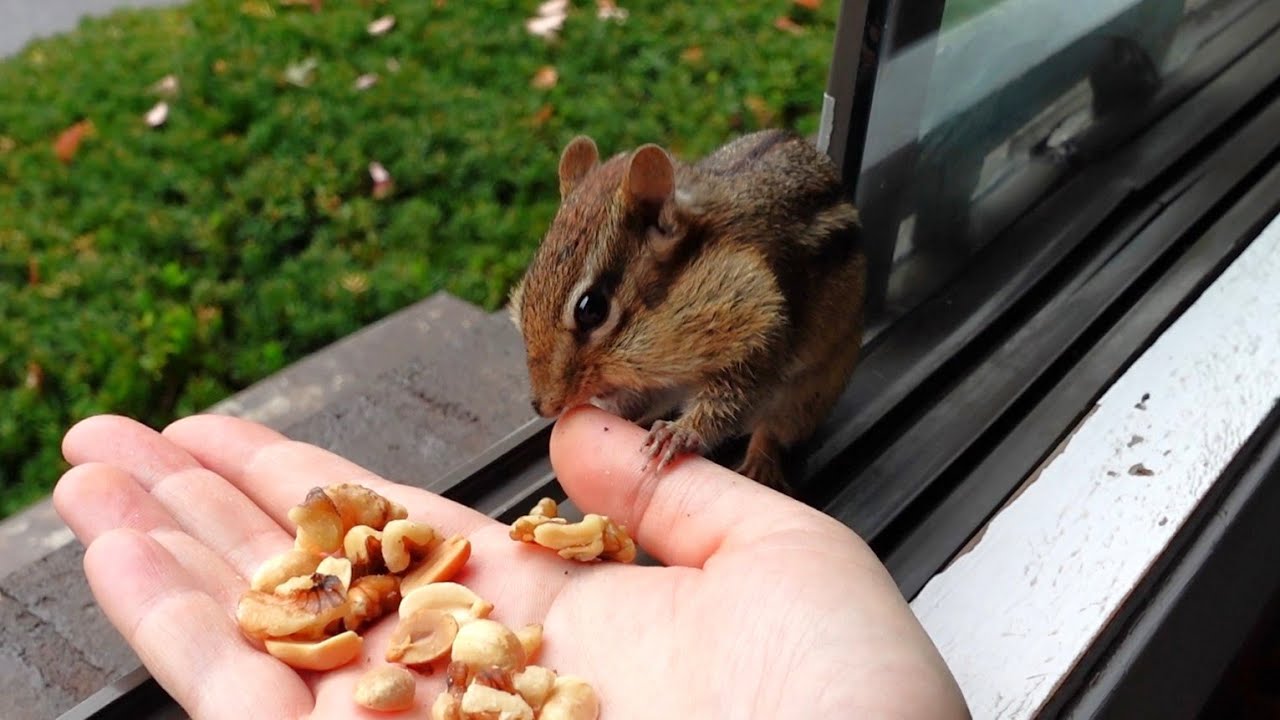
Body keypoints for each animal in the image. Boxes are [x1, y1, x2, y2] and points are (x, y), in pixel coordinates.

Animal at [508, 128, 867, 493]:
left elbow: (735, 396)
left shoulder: (762, 325)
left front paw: (679, 433)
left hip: (811, 393)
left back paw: (760, 465)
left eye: (591, 309)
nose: (543, 405)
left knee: (775, 428)